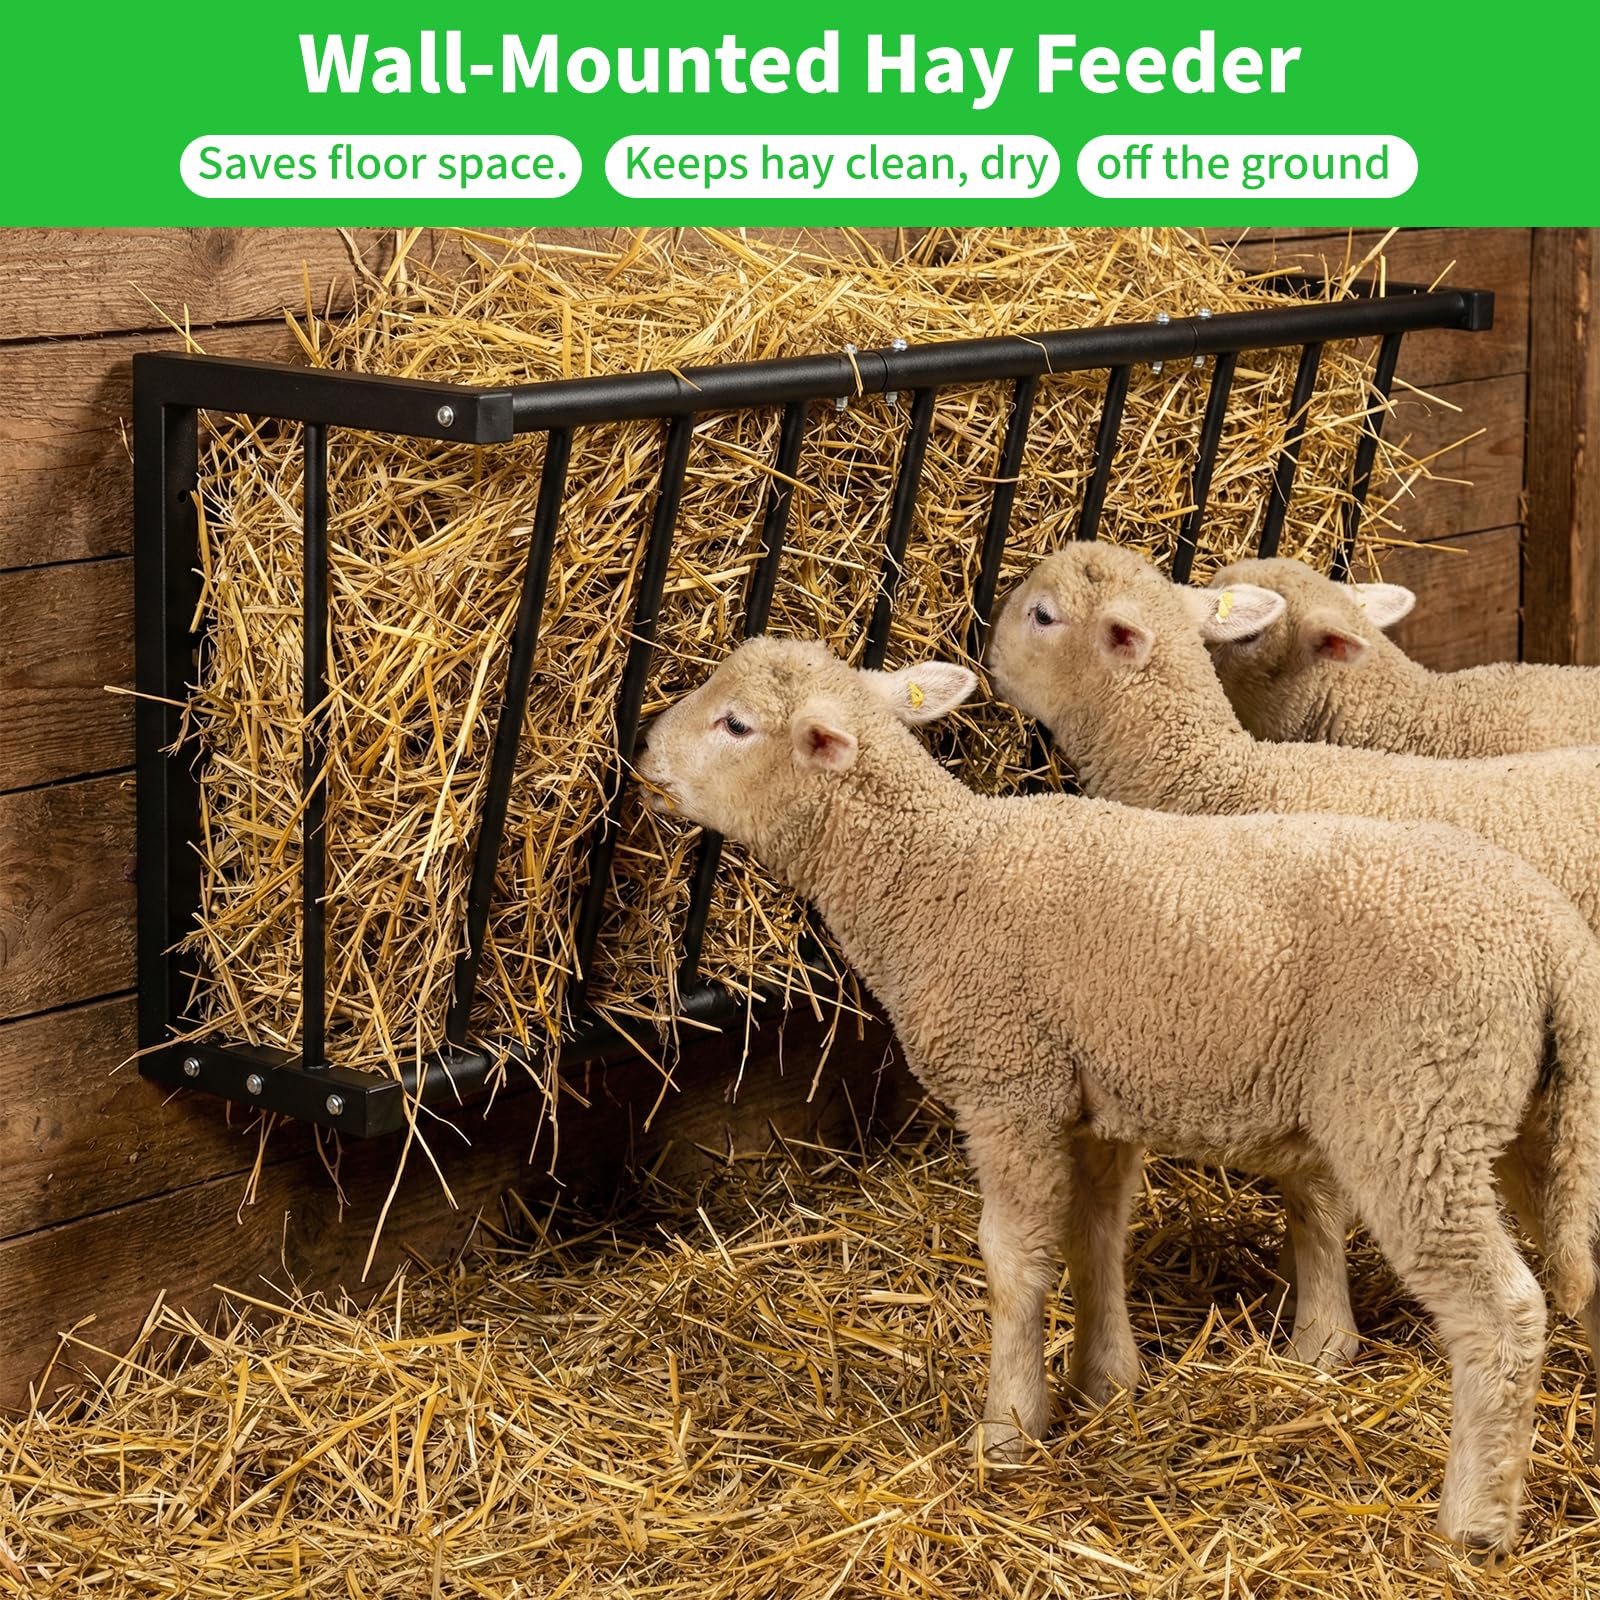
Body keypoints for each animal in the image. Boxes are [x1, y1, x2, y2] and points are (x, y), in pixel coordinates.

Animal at [639, 634, 1600, 1555]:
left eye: (735, 725)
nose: (644, 747)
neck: (938, 877)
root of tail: (1546, 935)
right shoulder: (1096, 1097)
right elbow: (1094, 1234)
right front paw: (1105, 1382)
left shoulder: (1010, 1088)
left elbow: (1015, 1261)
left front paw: (1009, 1427)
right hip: (1528, 1116)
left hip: (1415, 1114)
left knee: (1503, 1312)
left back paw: (1476, 1520)